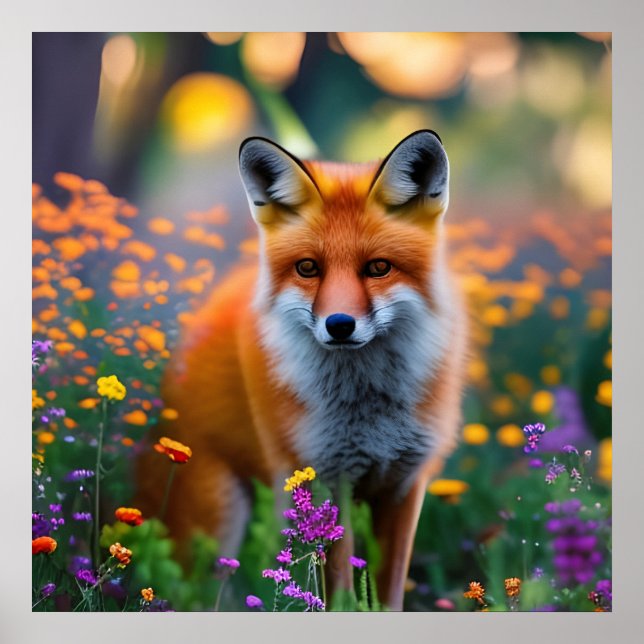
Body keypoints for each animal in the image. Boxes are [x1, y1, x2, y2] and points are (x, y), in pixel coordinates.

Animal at [135, 130, 468, 610]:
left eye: (379, 268)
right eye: (308, 267)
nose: (340, 325)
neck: (367, 410)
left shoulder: (404, 485)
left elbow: (387, 595)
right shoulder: (326, 480)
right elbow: (340, 594)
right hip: (215, 522)